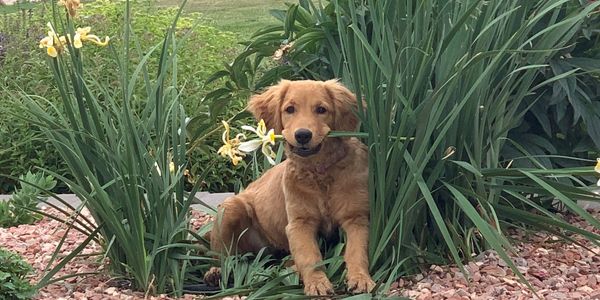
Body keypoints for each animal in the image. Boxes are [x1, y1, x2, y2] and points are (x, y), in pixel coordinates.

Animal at [209, 79, 372, 296]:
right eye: (290, 109)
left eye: (321, 109)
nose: (302, 135)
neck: (320, 173)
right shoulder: (299, 223)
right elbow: (310, 256)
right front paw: (316, 282)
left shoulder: (356, 218)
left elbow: (356, 251)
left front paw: (360, 278)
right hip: (230, 208)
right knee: (221, 254)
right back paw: (216, 271)